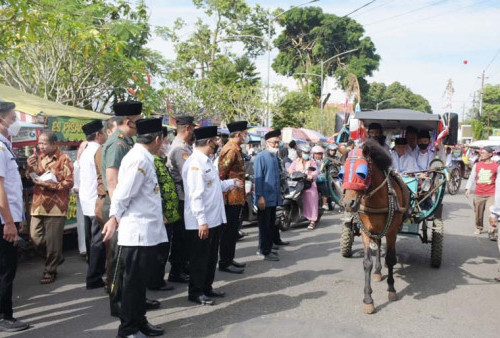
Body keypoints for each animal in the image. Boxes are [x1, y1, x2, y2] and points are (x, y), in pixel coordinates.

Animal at [342, 139, 412, 312]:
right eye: (342, 173)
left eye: (361, 173)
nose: (348, 204)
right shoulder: (366, 231)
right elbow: (367, 263)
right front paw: (368, 299)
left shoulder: (392, 231)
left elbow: (391, 259)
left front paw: (392, 289)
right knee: (379, 244)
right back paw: (378, 271)